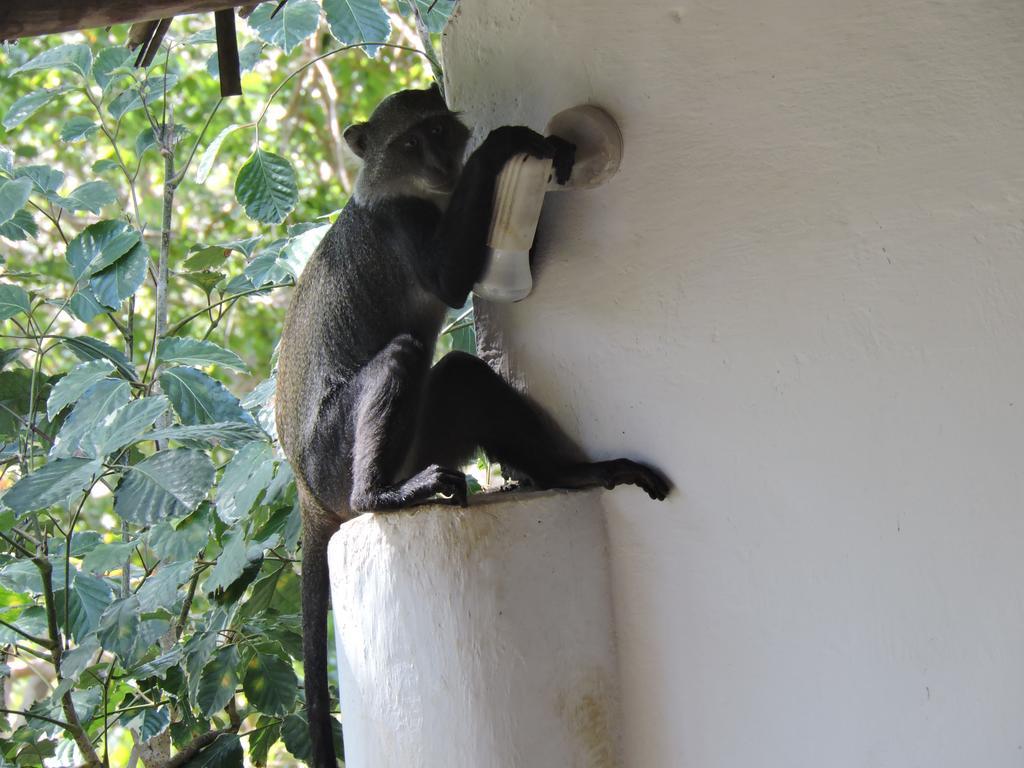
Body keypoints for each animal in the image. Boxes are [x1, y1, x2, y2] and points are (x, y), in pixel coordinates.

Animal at [276, 85, 667, 768]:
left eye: (437, 131)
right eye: (409, 142)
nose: (441, 164)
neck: (408, 188)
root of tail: (307, 493)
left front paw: (551, 153)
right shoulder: (404, 222)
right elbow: (447, 281)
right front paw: (501, 147)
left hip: (421, 437)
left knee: (460, 373)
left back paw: (573, 473)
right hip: (332, 455)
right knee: (403, 356)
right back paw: (379, 496)